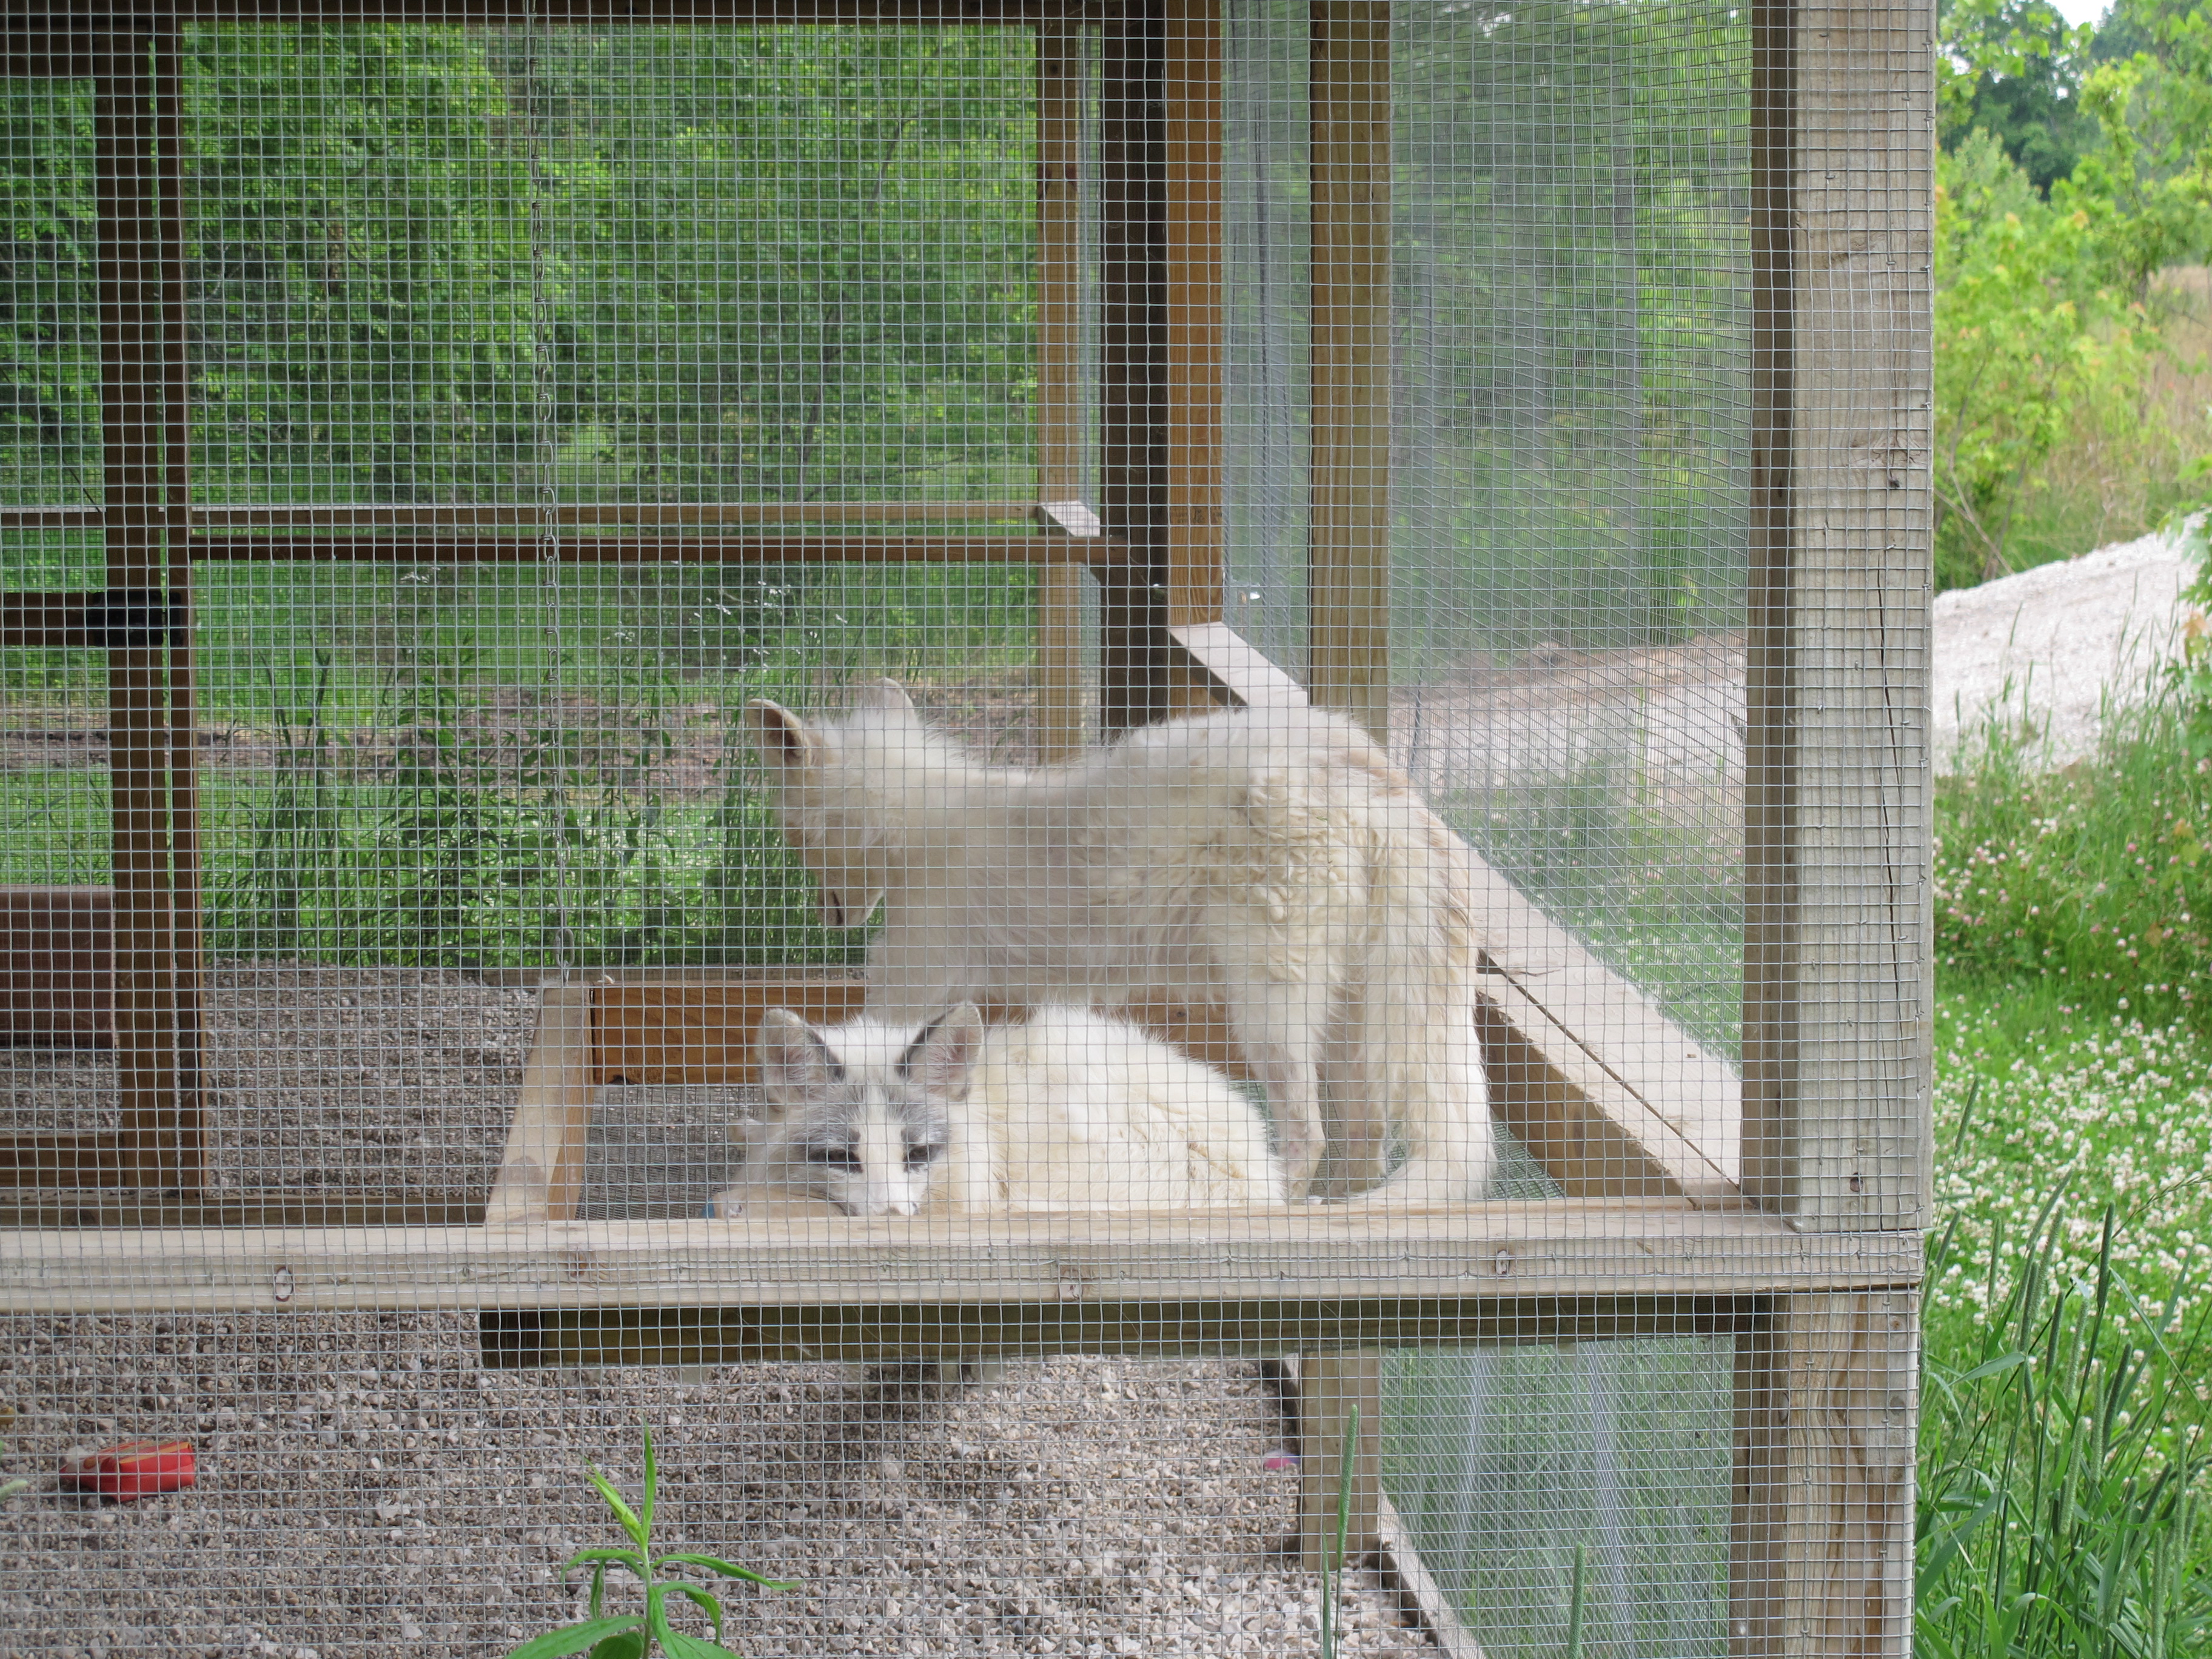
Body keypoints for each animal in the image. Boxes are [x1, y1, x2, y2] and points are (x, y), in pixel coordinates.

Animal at [748, 681, 1504, 1203]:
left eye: (790, 836)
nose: (830, 921)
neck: (925, 827)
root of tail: (1374, 774)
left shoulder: (912, 982)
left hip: (1269, 1011)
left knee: (1309, 1135)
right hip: (1349, 1022)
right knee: (1366, 1141)